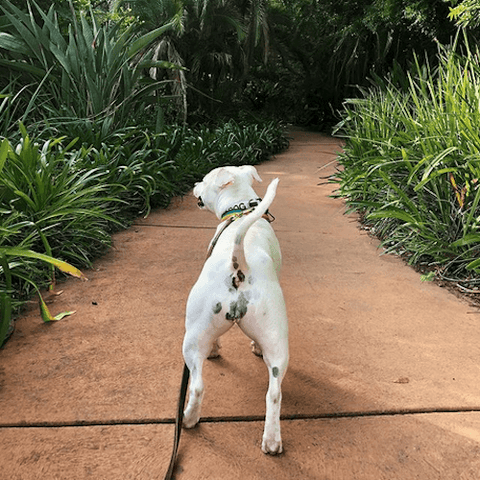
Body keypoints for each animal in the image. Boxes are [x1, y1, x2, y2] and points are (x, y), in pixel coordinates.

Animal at [183, 165, 288, 454]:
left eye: (204, 180)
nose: (193, 184)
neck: (240, 209)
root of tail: (240, 265)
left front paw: (215, 350)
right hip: (276, 338)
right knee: (274, 392)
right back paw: (271, 441)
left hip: (190, 338)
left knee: (197, 385)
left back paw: (188, 419)